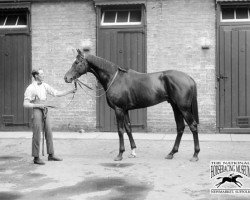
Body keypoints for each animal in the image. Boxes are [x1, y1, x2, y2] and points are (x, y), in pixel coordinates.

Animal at [63, 48, 200, 162]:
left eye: (77, 62)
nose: (66, 78)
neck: (114, 78)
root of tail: (189, 78)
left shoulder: (118, 110)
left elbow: (120, 130)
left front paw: (120, 154)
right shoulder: (125, 110)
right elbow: (128, 128)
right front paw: (133, 151)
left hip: (183, 109)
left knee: (193, 126)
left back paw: (195, 155)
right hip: (176, 107)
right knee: (180, 127)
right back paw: (171, 153)